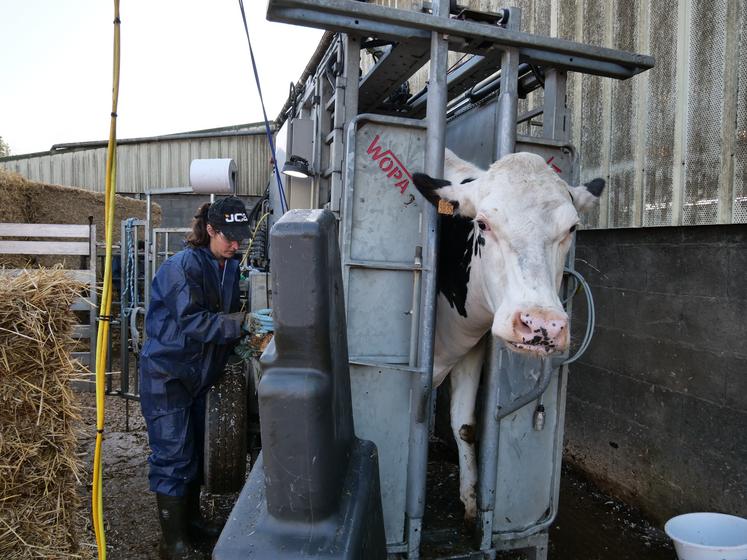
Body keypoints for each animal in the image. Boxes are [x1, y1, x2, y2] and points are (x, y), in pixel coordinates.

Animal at [412, 150, 604, 524]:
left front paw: (471, 501)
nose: (542, 324)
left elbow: (464, 424)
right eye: (483, 224)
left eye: (571, 228)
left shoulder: (470, 349)